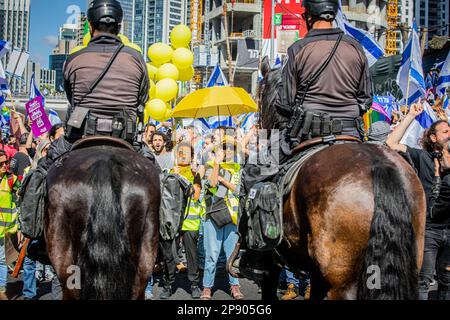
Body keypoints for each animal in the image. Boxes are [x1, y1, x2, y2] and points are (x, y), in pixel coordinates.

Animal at [253, 58, 426, 300]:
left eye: (258, 96)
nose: (259, 129)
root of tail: (380, 165)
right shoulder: (316, 273)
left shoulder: (272, 262)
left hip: (342, 280)